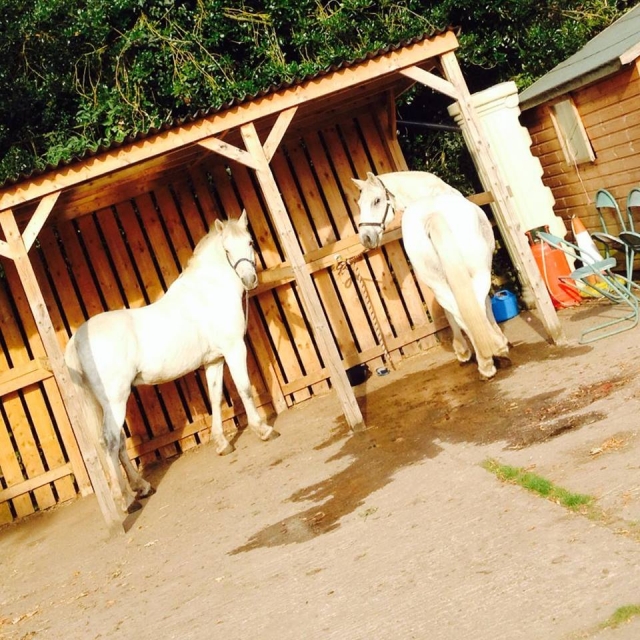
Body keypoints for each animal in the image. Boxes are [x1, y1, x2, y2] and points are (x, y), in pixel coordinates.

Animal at [64, 211, 279, 514]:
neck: (209, 292)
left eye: (249, 242)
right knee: (109, 442)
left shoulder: (214, 361)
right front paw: (263, 429)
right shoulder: (235, 349)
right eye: (227, 250)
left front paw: (221, 444)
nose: (249, 280)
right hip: (115, 399)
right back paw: (125, 499)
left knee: (119, 443)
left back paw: (142, 487)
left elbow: (215, 399)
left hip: (106, 402)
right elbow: (245, 388)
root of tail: (78, 338)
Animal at [353, 171, 510, 379]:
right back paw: (491, 356)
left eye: (376, 200)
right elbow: (484, 305)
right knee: (474, 307)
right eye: (360, 203)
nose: (366, 238)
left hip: (440, 284)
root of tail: (433, 215)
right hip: (479, 273)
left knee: (460, 312)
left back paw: (484, 356)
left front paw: (464, 350)